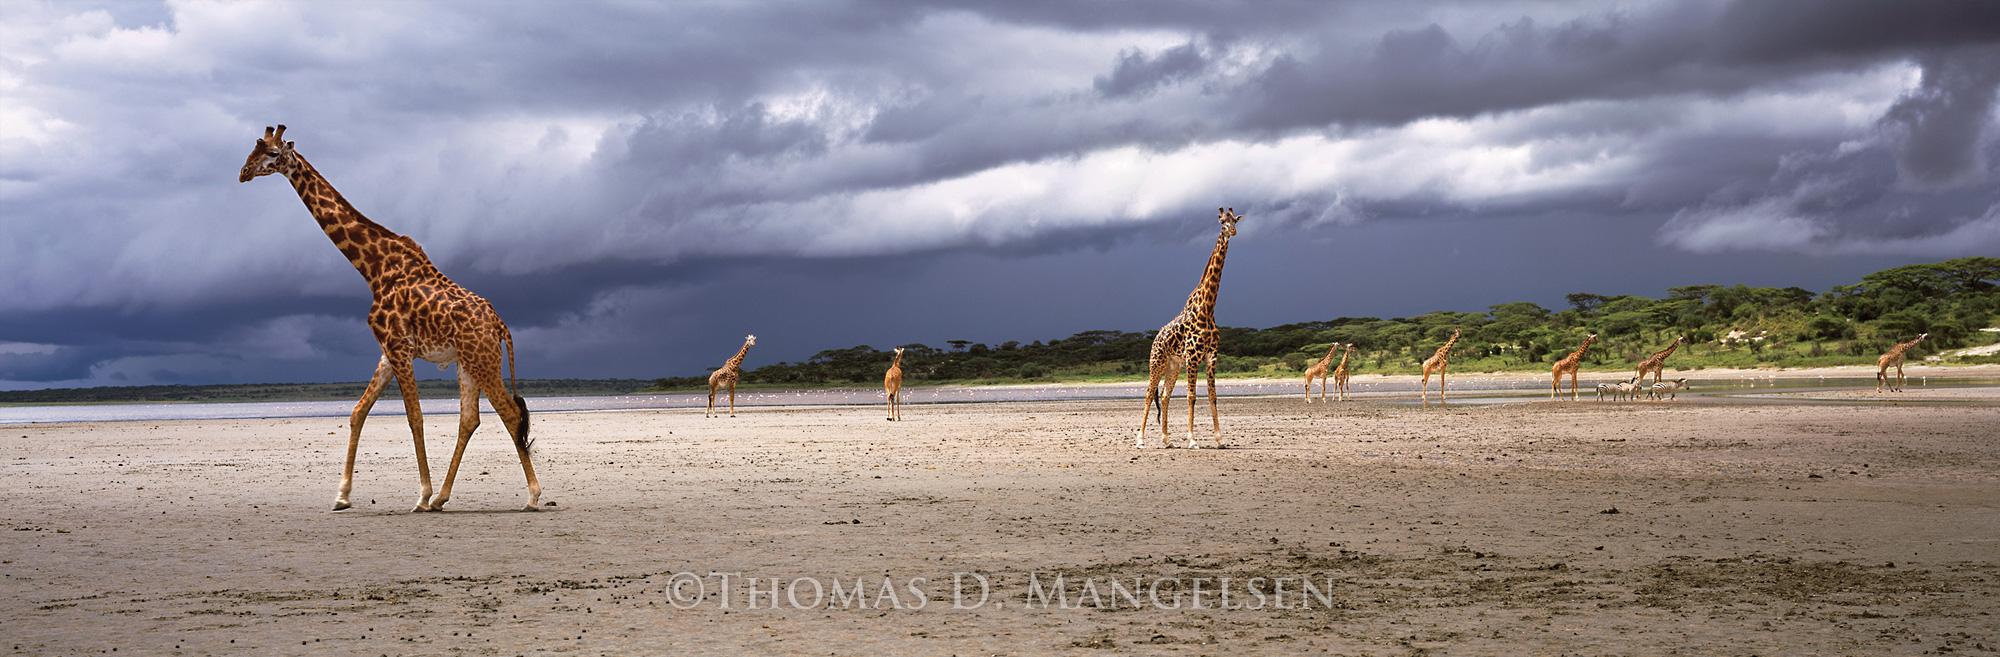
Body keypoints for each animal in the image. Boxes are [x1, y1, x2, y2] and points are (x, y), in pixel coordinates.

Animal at [236, 124, 540, 512]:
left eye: (272, 153)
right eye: (253, 149)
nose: (243, 172)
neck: (373, 268)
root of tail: (501, 325)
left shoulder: (399, 348)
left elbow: (415, 417)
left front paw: (420, 495)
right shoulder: (386, 351)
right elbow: (357, 412)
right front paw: (342, 495)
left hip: (483, 359)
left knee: (510, 412)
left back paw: (531, 495)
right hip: (467, 362)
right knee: (470, 419)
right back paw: (443, 497)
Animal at [1136, 210, 1240, 452]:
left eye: (1235, 220)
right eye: (1222, 222)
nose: (1232, 231)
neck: (1208, 309)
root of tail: (1155, 338)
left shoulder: (1211, 356)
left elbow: (1213, 396)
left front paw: (1219, 439)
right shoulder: (1193, 356)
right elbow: (1191, 395)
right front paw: (1192, 440)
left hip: (1173, 365)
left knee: (1165, 395)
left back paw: (1166, 440)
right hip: (1157, 361)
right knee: (1149, 393)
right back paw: (1141, 439)